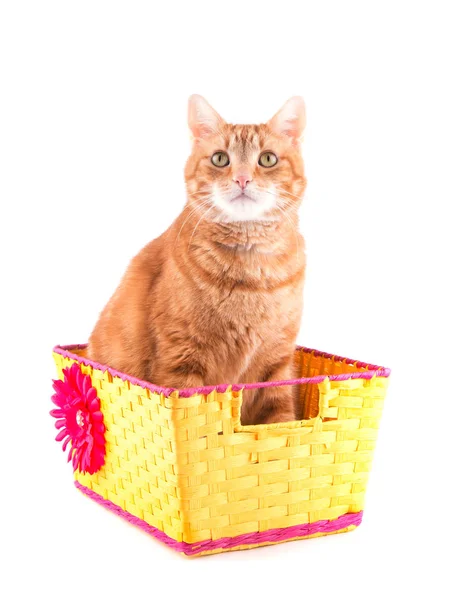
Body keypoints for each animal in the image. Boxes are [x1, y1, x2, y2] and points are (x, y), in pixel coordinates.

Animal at [87, 94, 306, 424]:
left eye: (267, 159)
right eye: (220, 159)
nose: (242, 179)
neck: (251, 276)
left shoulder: (278, 366)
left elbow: (282, 425)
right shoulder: (182, 360)